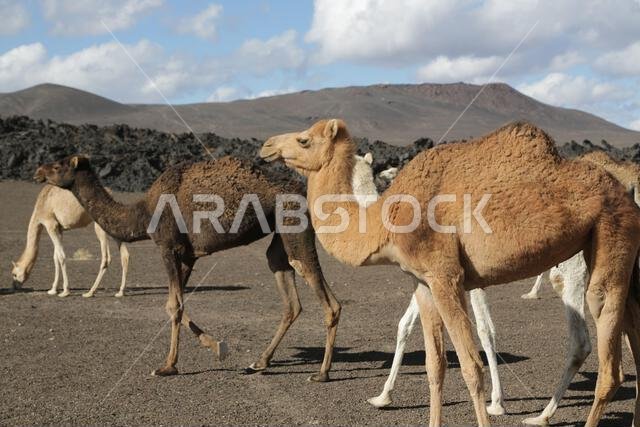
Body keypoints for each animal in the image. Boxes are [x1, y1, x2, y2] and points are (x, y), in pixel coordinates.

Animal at [34, 155, 341, 382]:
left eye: (59, 165)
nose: (38, 172)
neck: (143, 212)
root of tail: (304, 191)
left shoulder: (168, 247)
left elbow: (174, 306)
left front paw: (167, 366)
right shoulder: (188, 256)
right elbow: (177, 303)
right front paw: (218, 346)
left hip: (294, 225)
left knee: (325, 295)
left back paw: (321, 373)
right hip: (279, 234)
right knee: (287, 289)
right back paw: (260, 362)